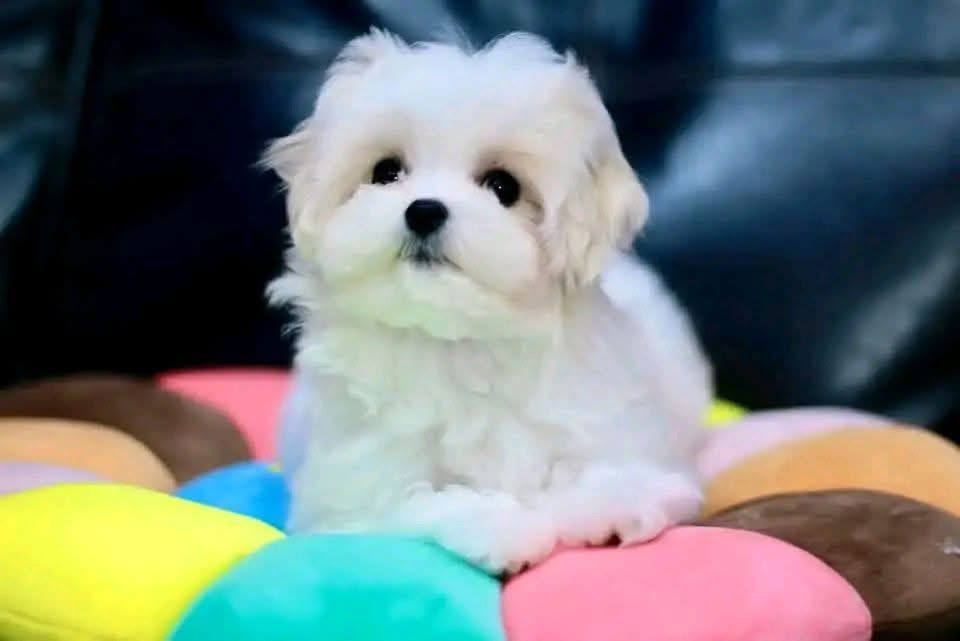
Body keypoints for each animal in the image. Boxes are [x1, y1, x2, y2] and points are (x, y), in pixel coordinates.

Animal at [266, 29, 712, 573]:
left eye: (504, 186)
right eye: (386, 171)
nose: (424, 210)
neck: (461, 342)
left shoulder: (623, 429)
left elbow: (619, 470)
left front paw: (609, 503)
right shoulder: (353, 494)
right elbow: (423, 499)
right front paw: (503, 526)